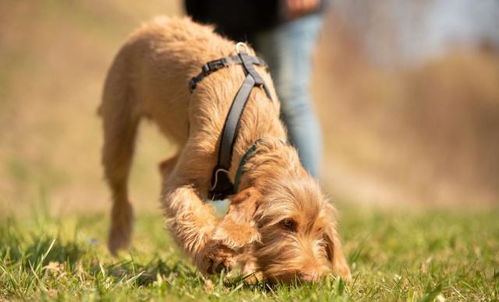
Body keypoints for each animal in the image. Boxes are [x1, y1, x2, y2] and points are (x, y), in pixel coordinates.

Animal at [100, 15, 352, 282]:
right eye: (287, 223)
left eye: (319, 230)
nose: (311, 277)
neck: (256, 137)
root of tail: (155, 22)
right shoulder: (183, 181)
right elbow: (189, 213)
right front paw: (212, 256)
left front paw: (248, 270)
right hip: (118, 124)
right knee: (120, 185)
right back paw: (118, 237)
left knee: (165, 165)